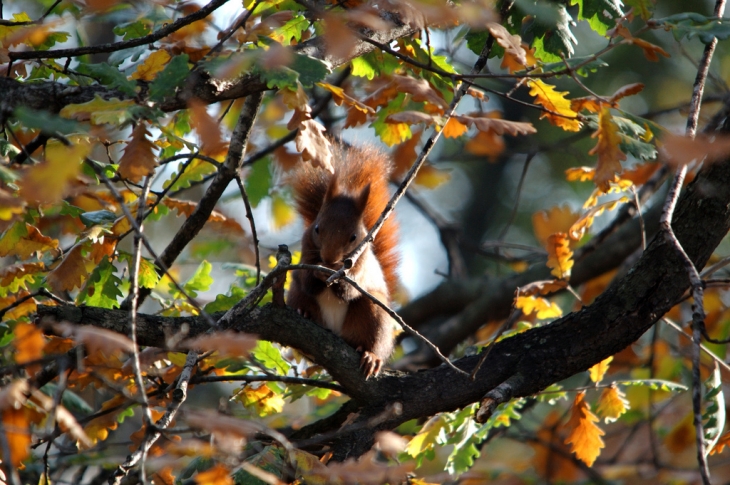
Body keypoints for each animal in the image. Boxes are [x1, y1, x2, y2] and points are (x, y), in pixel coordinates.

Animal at [284, 142, 398, 376]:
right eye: (317, 228)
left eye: (353, 237)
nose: (329, 258)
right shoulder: (306, 248)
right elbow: (308, 282)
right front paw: (317, 271)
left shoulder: (362, 264)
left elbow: (350, 290)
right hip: (296, 294)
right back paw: (305, 313)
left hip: (374, 314)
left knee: (371, 340)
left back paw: (371, 357)